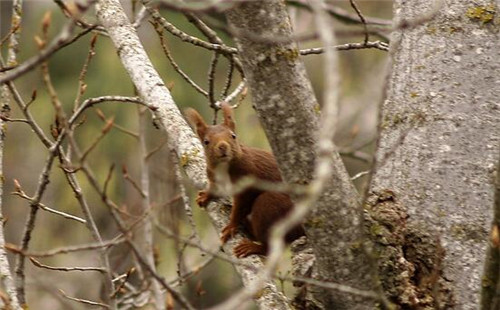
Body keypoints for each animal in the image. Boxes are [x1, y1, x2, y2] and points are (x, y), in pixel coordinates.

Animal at [185, 103, 304, 258]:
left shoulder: (247, 181)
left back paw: (254, 247)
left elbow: (240, 206)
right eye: (206, 142)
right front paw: (206, 195)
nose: (222, 146)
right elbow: (215, 188)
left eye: (233, 136)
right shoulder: (213, 176)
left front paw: (231, 226)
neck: (224, 167)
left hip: (275, 207)